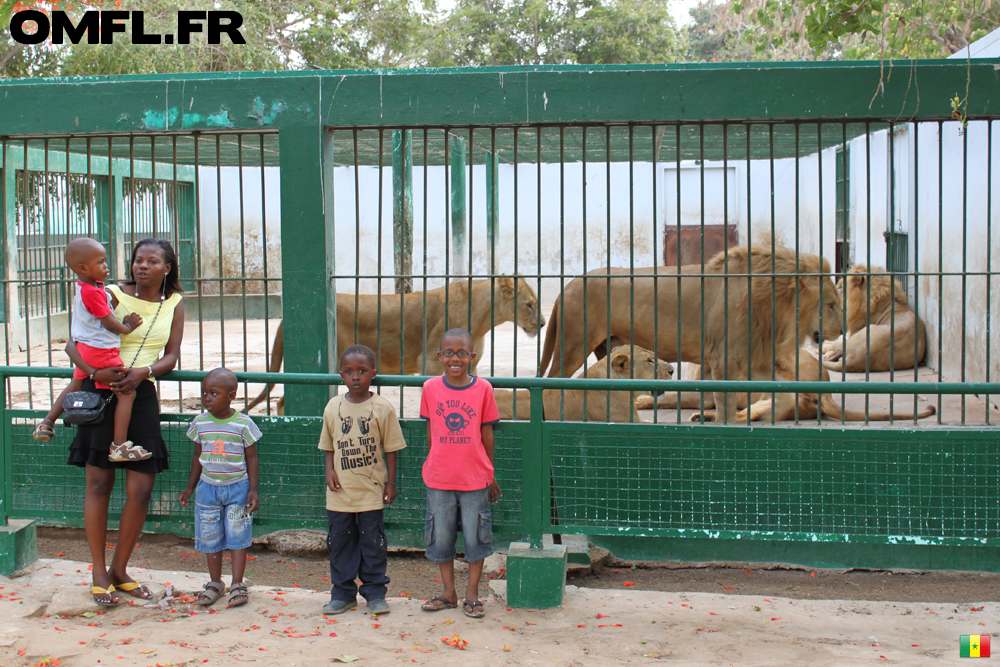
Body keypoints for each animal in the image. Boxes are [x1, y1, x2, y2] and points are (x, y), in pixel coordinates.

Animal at [250, 276, 548, 412]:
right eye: (529, 305)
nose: (544, 323)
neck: (485, 316)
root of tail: (285, 319)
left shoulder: (470, 366)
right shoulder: (431, 364)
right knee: (284, 402)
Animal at [540, 244, 844, 422]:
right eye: (831, 304)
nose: (843, 329)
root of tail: (569, 285)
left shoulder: (751, 360)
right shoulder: (724, 357)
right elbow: (724, 403)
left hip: (605, 348)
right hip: (574, 344)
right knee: (554, 378)